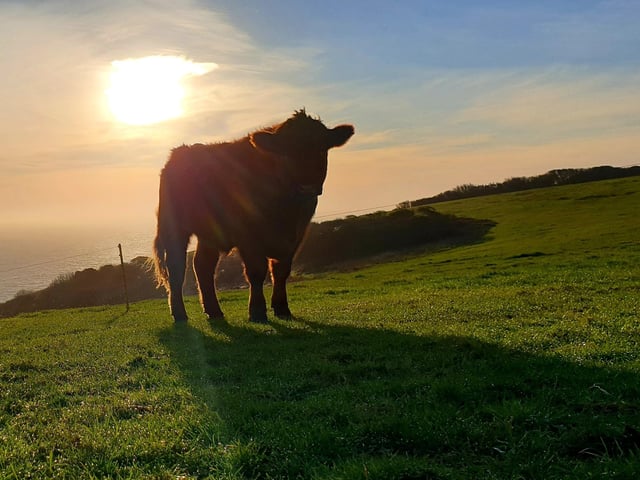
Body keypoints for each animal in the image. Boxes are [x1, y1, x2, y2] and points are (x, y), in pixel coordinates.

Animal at [152, 110, 354, 323]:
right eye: (285, 151)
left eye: (322, 149)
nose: (307, 187)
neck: (287, 209)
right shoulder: (248, 236)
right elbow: (257, 271)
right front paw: (257, 311)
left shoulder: (297, 234)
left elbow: (281, 271)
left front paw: (282, 308)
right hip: (172, 227)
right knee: (176, 268)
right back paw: (179, 314)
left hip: (210, 233)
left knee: (202, 265)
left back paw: (214, 311)